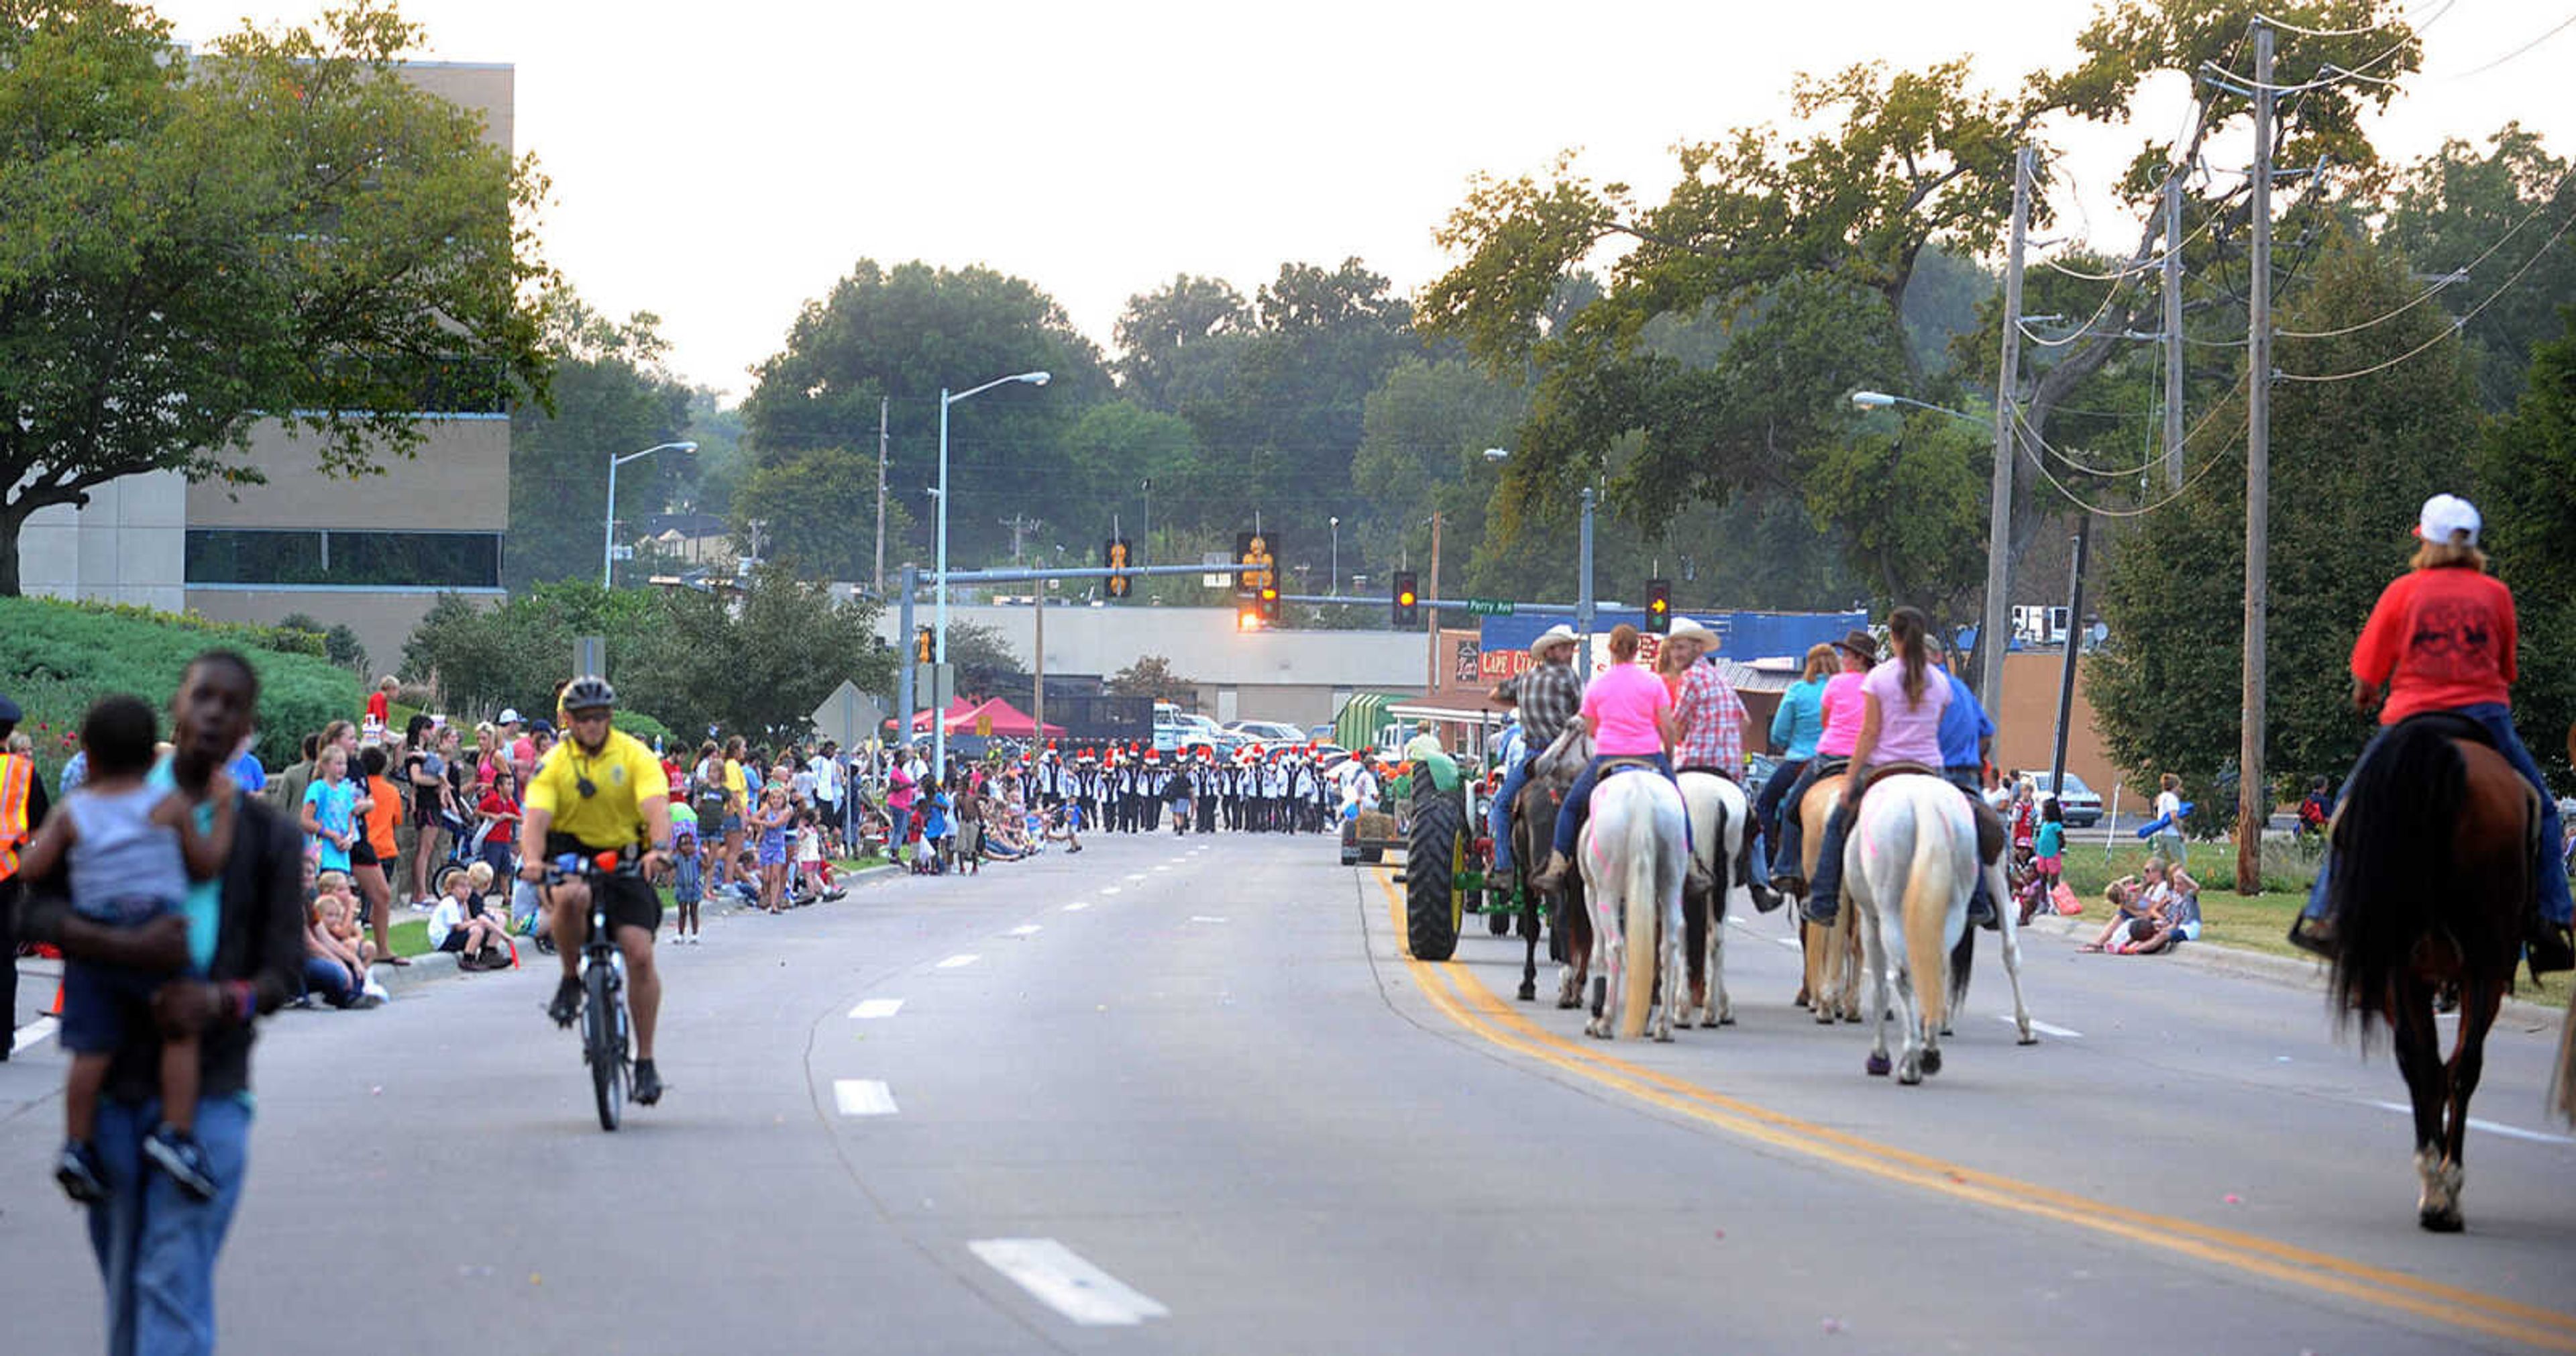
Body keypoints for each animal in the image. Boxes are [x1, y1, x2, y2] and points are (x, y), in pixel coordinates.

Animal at [1566, 773, 1690, 1046]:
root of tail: (1640, 792)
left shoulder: (1591, 893)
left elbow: (1598, 950)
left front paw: (1595, 1016)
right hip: (1671, 882)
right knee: (1669, 945)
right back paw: (1663, 1025)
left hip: (1607, 892)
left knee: (1615, 946)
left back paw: (1605, 1021)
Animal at [1669, 778, 1752, 1031]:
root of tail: (1710, 801)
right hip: (1723, 882)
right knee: (1715, 938)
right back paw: (1708, 1012)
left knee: (1688, 933)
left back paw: (1688, 1011)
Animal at [1844, 778, 2040, 1082]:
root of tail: (1925, 804)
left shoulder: (1870, 917)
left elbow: (1880, 987)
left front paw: (1881, 1055)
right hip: (1978, 890)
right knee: (2005, 951)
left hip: (1890, 910)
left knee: (1904, 974)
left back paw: (1912, 1060)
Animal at [2328, 717, 2524, 1237]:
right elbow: (2444, 1067)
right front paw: (2440, 1186)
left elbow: (2434, 1066)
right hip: (2471, 964)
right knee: (2454, 1067)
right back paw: (2442, 1190)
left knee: (2434, 1065)